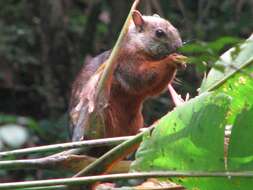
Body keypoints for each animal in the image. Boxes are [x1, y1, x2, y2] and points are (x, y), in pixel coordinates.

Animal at [69, 10, 184, 141]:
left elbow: (154, 88)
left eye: (174, 27)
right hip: (100, 114)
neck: (136, 43)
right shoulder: (126, 60)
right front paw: (171, 60)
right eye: (159, 33)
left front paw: (181, 62)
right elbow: (140, 78)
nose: (179, 46)